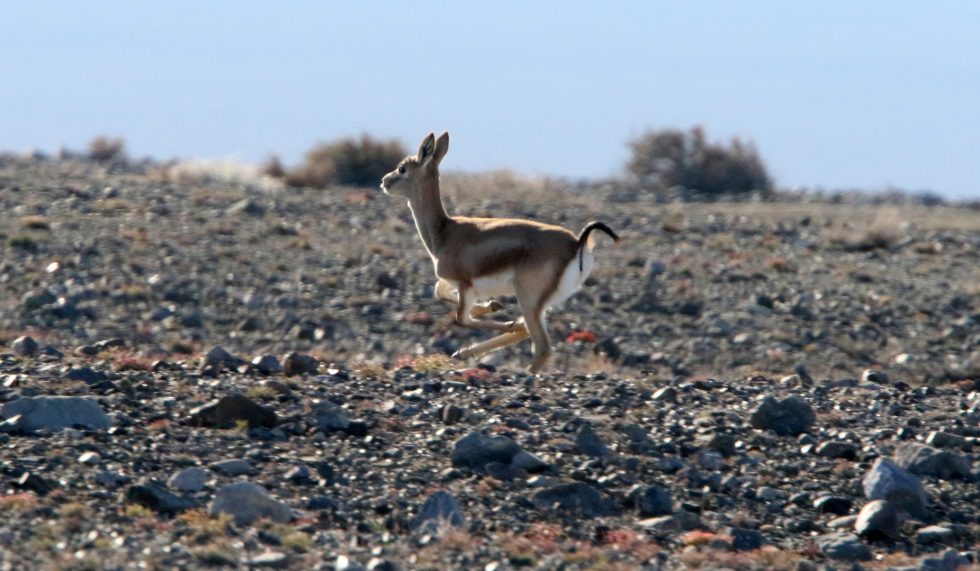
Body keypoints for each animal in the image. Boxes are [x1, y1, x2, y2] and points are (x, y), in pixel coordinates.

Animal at [380, 132, 620, 373]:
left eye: (402, 168)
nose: (384, 181)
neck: (444, 231)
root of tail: (577, 243)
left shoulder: (465, 286)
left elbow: (461, 318)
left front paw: (502, 318)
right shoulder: (453, 282)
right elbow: (440, 291)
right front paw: (492, 306)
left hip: (528, 299)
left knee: (542, 346)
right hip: (542, 304)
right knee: (531, 333)